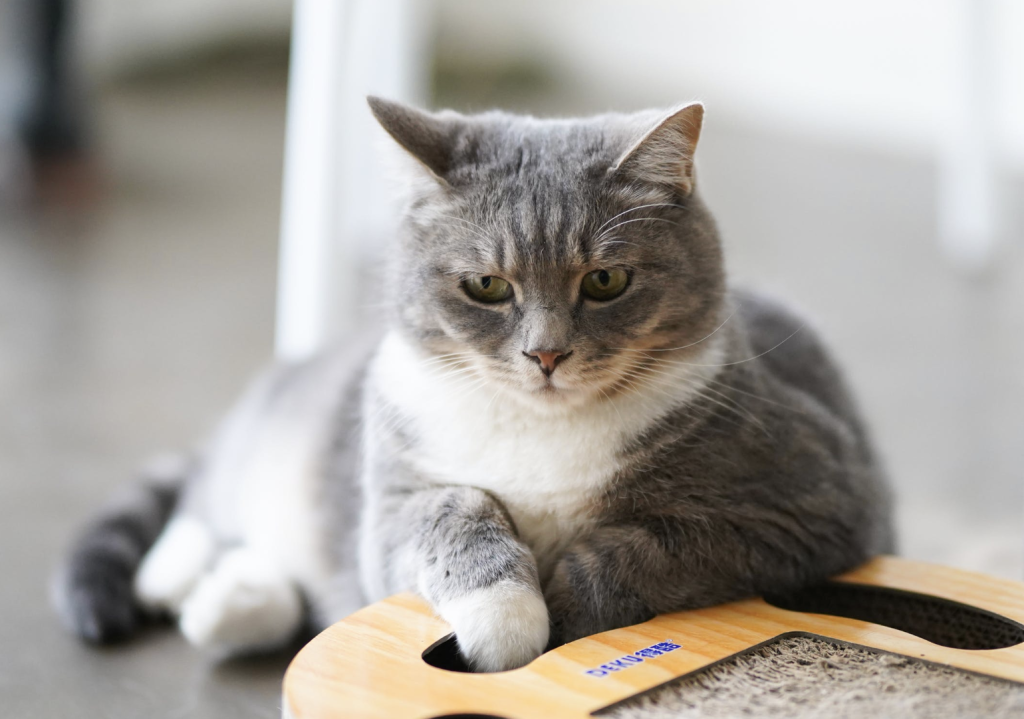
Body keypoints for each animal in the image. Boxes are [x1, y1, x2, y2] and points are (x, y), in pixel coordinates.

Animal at [54, 97, 897, 675]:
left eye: (607, 280)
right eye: (487, 286)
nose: (546, 354)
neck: (541, 434)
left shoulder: (809, 500)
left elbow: (636, 549)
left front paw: (557, 617)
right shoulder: (392, 505)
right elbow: (455, 509)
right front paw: (505, 618)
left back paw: (231, 602)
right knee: (207, 491)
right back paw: (176, 574)